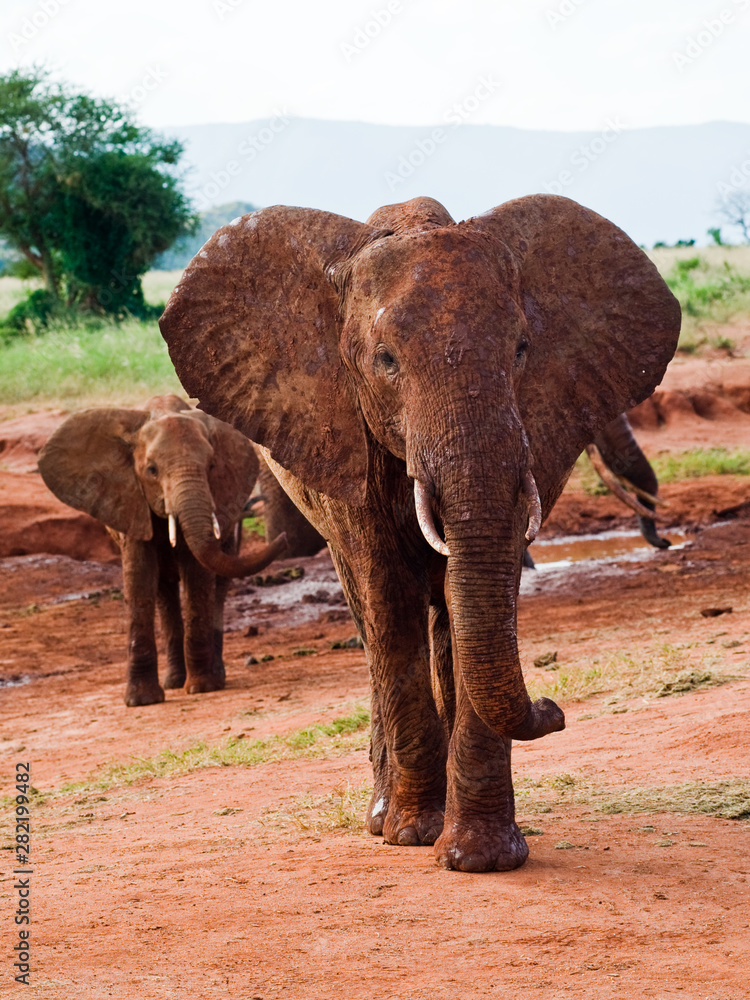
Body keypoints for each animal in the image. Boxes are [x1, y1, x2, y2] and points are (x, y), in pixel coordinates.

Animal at [39, 394, 290, 708]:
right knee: (163, 590)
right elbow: (140, 579)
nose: (284, 537)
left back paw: (212, 676)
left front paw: (202, 688)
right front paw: (141, 701)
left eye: (211, 467)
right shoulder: (128, 499)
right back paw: (174, 681)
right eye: (152, 470)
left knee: (217, 585)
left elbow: (197, 575)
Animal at [160, 193, 680, 868]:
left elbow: (479, 596)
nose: (554, 708)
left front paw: (482, 858)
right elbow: (388, 599)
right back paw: (383, 817)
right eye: (385, 360)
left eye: (521, 349)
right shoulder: (344, 438)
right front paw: (411, 833)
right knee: (372, 620)